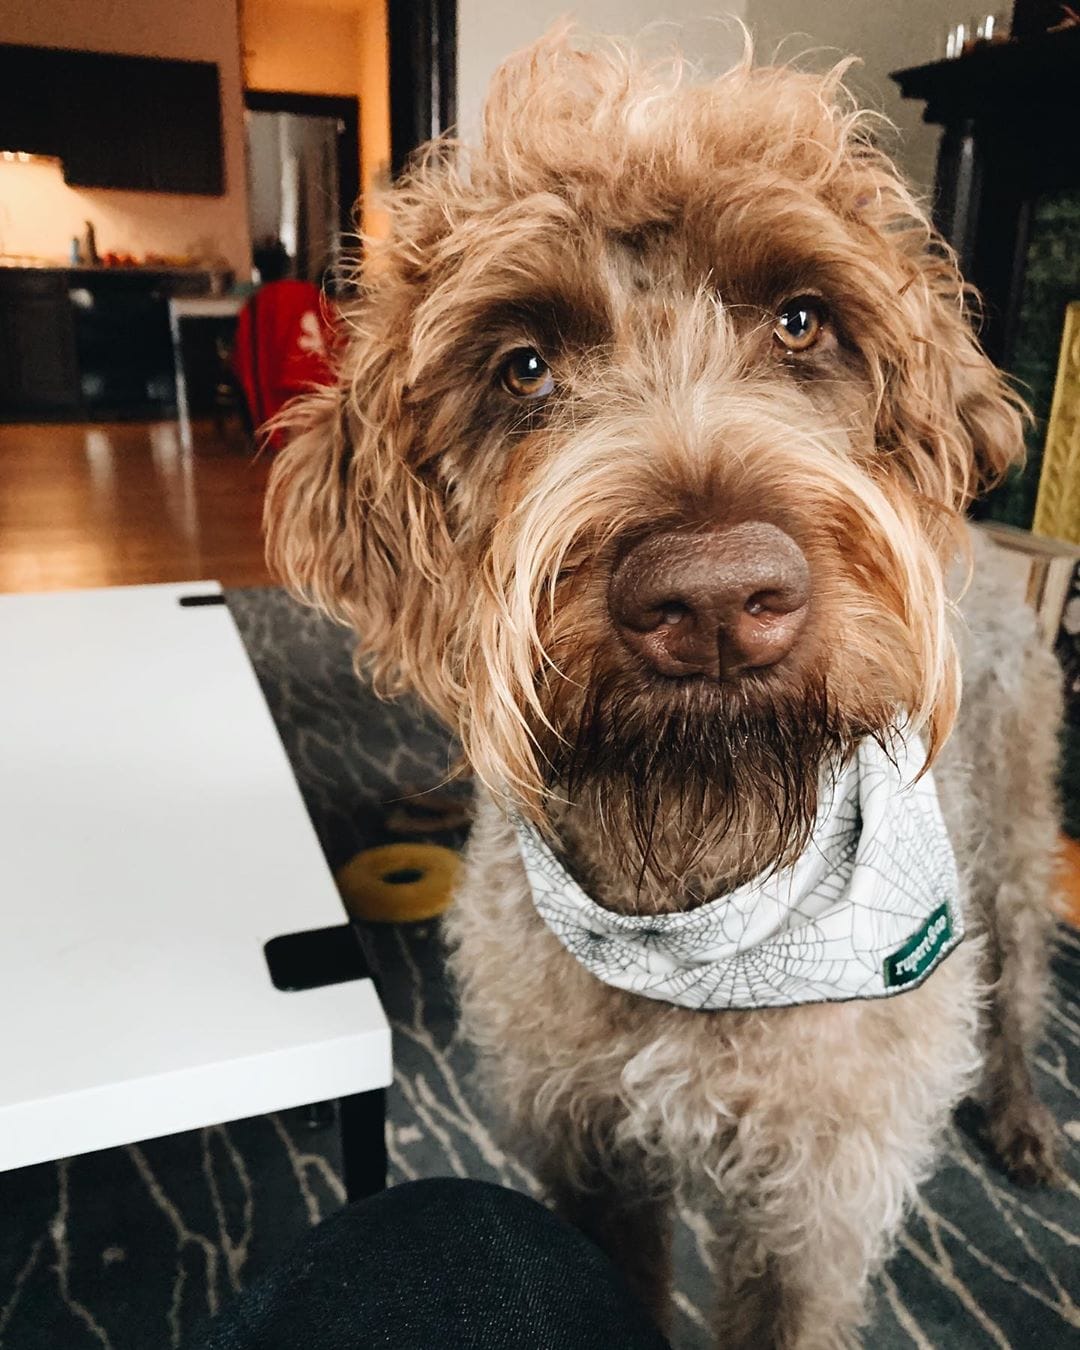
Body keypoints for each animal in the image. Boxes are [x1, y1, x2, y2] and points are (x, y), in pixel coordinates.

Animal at [265, 31, 1062, 1349]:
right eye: (523, 365)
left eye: (802, 320)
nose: (716, 600)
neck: (707, 887)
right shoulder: (585, 1145)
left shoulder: (815, 1199)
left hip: (1009, 843)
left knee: (1022, 985)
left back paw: (1022, 1115)